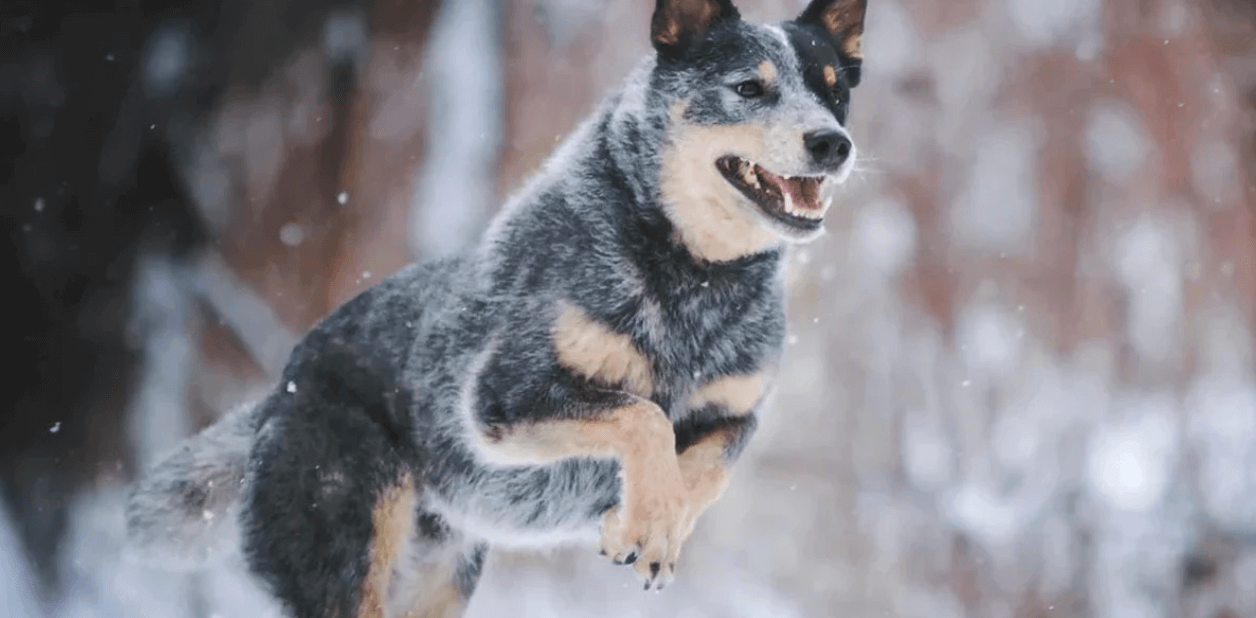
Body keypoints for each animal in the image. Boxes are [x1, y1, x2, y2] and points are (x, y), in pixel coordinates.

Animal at [132, 2, 869, 615]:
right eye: (749, 87)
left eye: (834, 90)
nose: (834, 142)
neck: (695, 278)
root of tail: (279, 389)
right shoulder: (502, 399)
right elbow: (645, 416)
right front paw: (647, 517)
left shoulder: (738, 411)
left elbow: (708, 466)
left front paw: (647, 524)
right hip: (347, 549)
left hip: (438, 580)